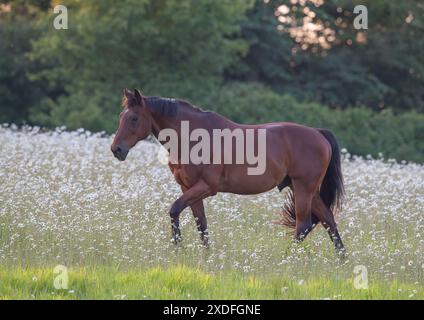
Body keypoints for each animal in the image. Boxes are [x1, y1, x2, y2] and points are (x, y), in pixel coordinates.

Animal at [110, 89, 344, 254]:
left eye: (134, 118)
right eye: (121, 116)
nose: (116, 149)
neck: (193, 138)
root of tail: (319, 134)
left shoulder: (206, 187)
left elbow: (174, 210)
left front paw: (178, 249)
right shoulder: (188, 188)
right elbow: (201, 224)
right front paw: (207, 256)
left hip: (303, 188)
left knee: (303, 225)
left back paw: (286, 258)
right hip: (307, 190)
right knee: (328, 221)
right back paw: (342, 261)